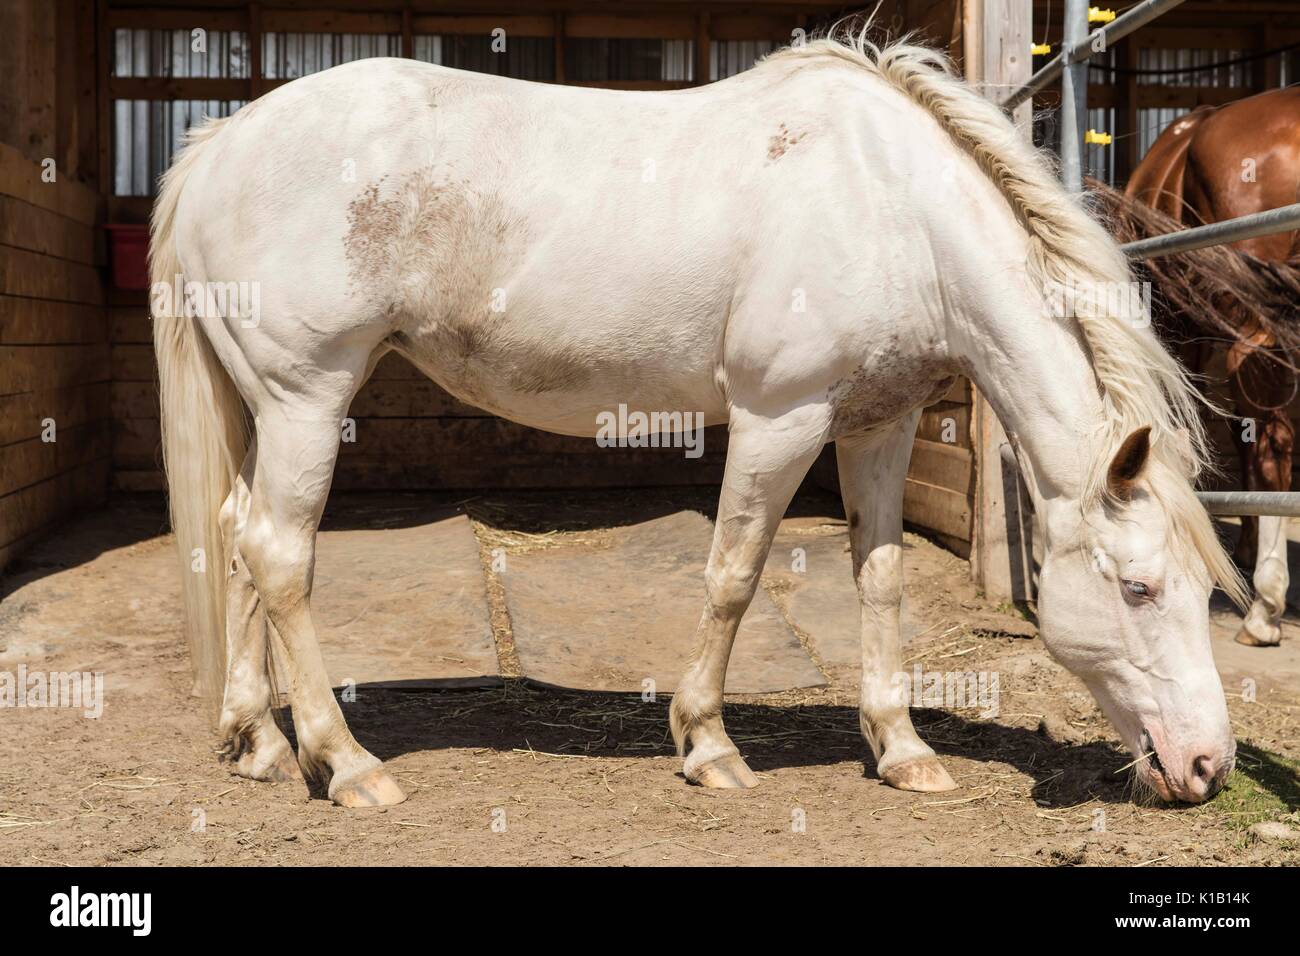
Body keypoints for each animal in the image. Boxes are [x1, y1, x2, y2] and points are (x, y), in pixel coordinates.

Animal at [149, 28, 1246, 808]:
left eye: (1206, 592)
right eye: (1140, 587)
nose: (1206, 768)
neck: (893, 206)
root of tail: (220, 143)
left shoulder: (876, 424)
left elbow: (880, 577)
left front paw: (901, 747)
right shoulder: (780, 418)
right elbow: (732, 574)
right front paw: (709, 743)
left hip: (263, 408)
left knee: (239, 539)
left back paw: (257, 741)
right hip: (307, 398)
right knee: (282, 554)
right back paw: (344, 762)